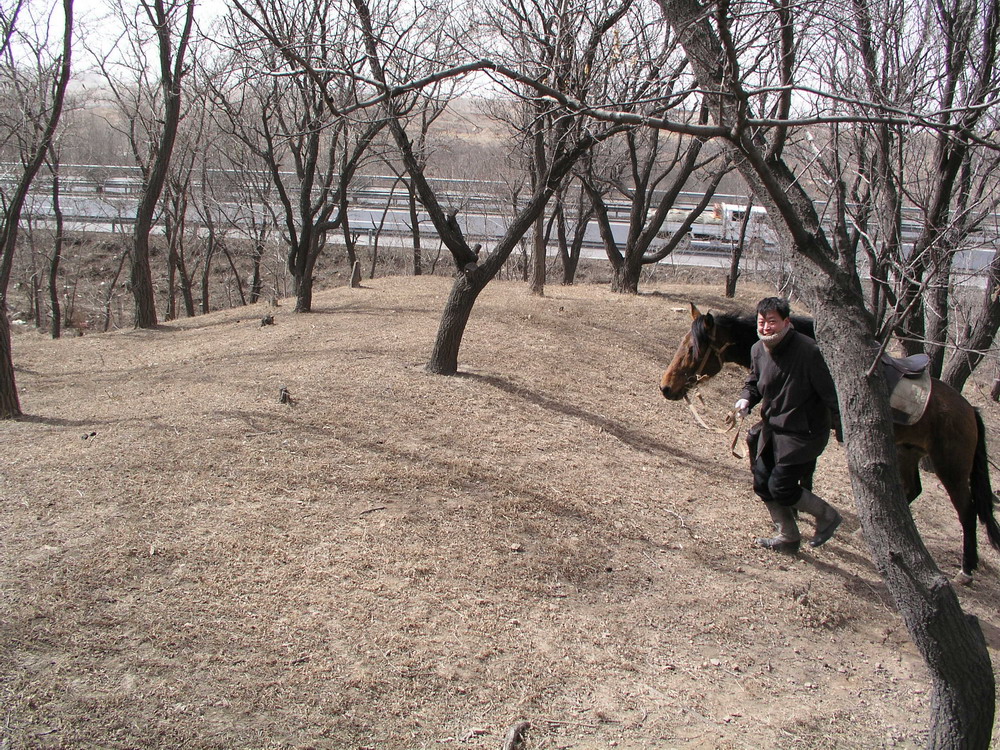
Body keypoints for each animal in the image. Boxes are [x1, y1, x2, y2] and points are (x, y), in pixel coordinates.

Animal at [656, 302, 1000, 584]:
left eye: (692, 349)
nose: (666, 387)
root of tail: (969, 409)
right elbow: (765, 444)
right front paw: (796, 509)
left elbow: (795, 461)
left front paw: (798, 510)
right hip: (907, 452)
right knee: (912, 489)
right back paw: (864, 531)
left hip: (950, 467)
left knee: (967, 511)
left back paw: (966, 569)